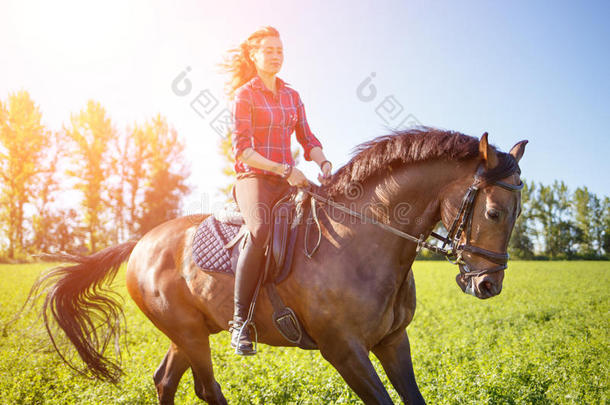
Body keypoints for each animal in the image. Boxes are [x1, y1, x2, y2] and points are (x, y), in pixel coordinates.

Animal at [26, 128, 524, 402]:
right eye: (494, 212)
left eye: (518, 212)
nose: (489, 285)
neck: (364, 241)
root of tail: (141, 242)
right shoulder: (344, 350)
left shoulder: (392, 341)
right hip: (189, 333)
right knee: (205, 389)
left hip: (189, 331)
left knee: (165, 381)